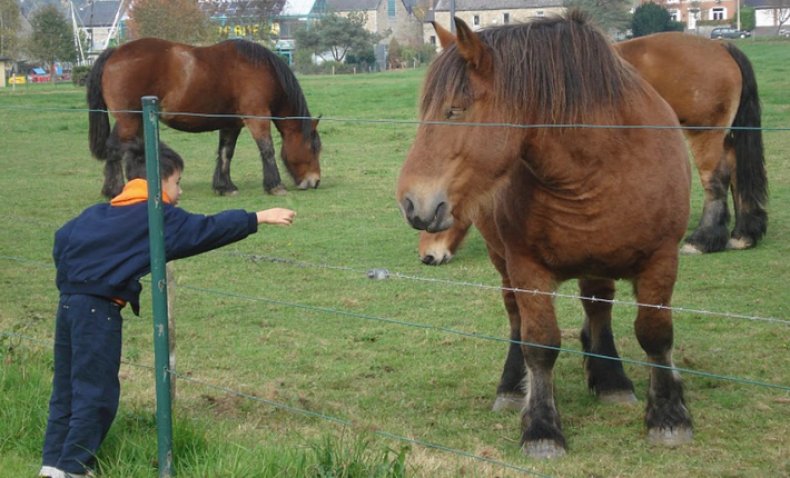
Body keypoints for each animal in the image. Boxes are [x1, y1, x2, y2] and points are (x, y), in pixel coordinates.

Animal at [87, 37, 322, 198]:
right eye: (313, 148)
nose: (315, 181)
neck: (262, 71)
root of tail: (115, 51)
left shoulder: (231, 124)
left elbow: (226, 153)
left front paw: (225, 186)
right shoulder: (257, 118)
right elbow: (267, 150)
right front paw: (275, 186)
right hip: (128, 120)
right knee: (115, 149)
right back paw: (114, 190)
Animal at [396, 13, 692, 458]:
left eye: (455, 110)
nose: (412, 203)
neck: (603, 166)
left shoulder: (661, 260)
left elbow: (655, 335)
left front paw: (669, 416)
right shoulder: (527, 269)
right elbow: (539, 344)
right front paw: (541, 426)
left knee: (598, 307)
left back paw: (611, 379)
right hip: (504, 264)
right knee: (516, 319)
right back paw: (511, 386)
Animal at [418, 30, 772, 266]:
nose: (426, 256)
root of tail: (719, 45)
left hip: (705, 134)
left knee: (716, 179)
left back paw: (705, 239)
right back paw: (743, 233)